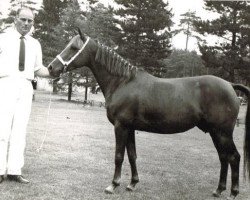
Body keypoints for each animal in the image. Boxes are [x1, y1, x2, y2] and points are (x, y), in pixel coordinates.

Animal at [47, 30, 250, 200]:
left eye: (74, 48)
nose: (51, 68)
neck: (123, 82)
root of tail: (230, 85)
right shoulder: (129, 128)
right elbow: (132, 155)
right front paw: (132, 184)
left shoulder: (121, 126)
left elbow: (119, 156)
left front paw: (113, 185)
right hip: (216, 133)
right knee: (224, 158)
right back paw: (219, 190)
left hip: (222, 132)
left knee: (234, 157)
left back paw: (233, 193)